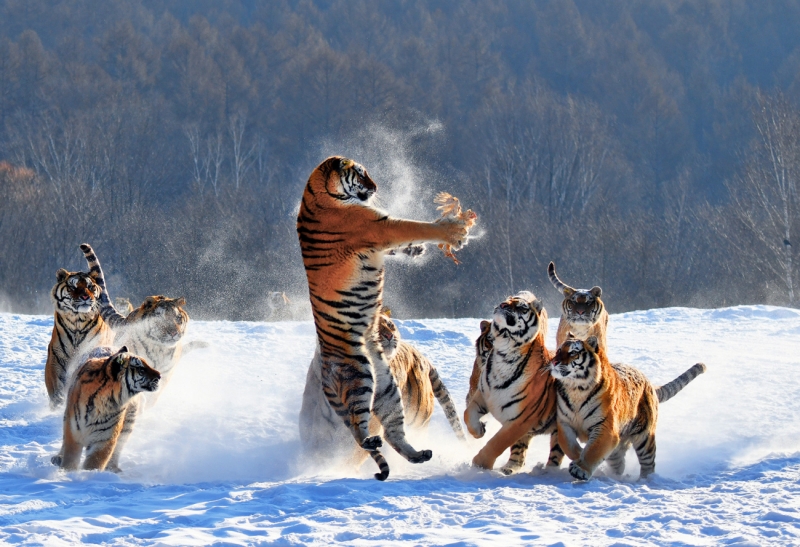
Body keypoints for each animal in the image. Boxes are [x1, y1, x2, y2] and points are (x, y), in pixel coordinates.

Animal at [44, 268, 114, 408]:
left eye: (90, 286)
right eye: (73, 287)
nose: (85, 297)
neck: (78, 320)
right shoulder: (56, 356)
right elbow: (55, 384)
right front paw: (58, 401)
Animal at [464, 292, 564, 475]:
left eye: (521, 307)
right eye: (505, 301)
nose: (502, 305)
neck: (504, 354)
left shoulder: (520, 420)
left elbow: (497, 442)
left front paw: (480, 464)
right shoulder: (483, 395)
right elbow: (468, 415)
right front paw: (479, 430)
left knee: (557, 452)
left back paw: (547, 472)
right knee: (519, 454)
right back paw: (509, 468)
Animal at [549, 334, 706, 480]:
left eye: (573, 352)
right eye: (559, 350)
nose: (554, 362)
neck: (576, 389)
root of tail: (649, 383)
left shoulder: (605, 427)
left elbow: (594, 450)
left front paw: (580, 469)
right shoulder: (564, 423)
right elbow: (568, 445)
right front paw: (579, 456)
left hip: (645, 437)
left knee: (648, 463)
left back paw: (646, 480)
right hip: (617, 450)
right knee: (619, 464)